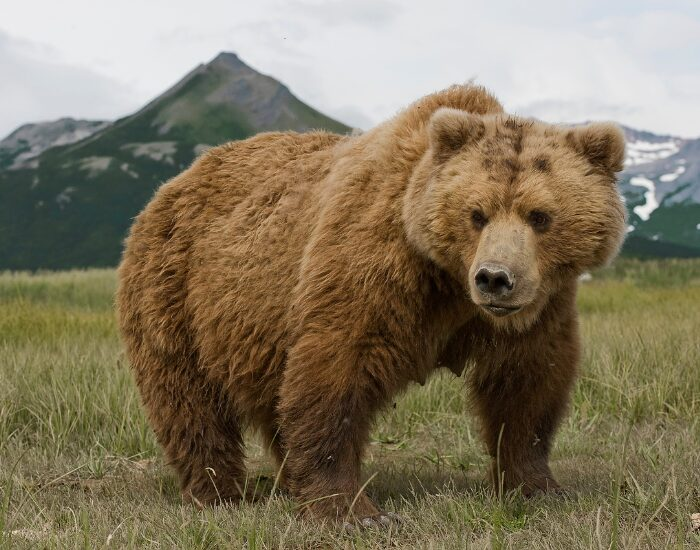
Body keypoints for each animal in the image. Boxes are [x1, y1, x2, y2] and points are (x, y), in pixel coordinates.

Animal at [116, 84, 626, 527]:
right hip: (177, 291)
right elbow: (336, 371)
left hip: (255, 330)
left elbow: (528, 385)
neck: (449, 281)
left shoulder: (539, 308)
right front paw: (354, 512)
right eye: (476, 213)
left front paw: (538, 486)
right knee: (188, 401)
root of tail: (173, 184)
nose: (495, 278)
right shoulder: (376, 268)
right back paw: (219, 492)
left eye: (540, 216)